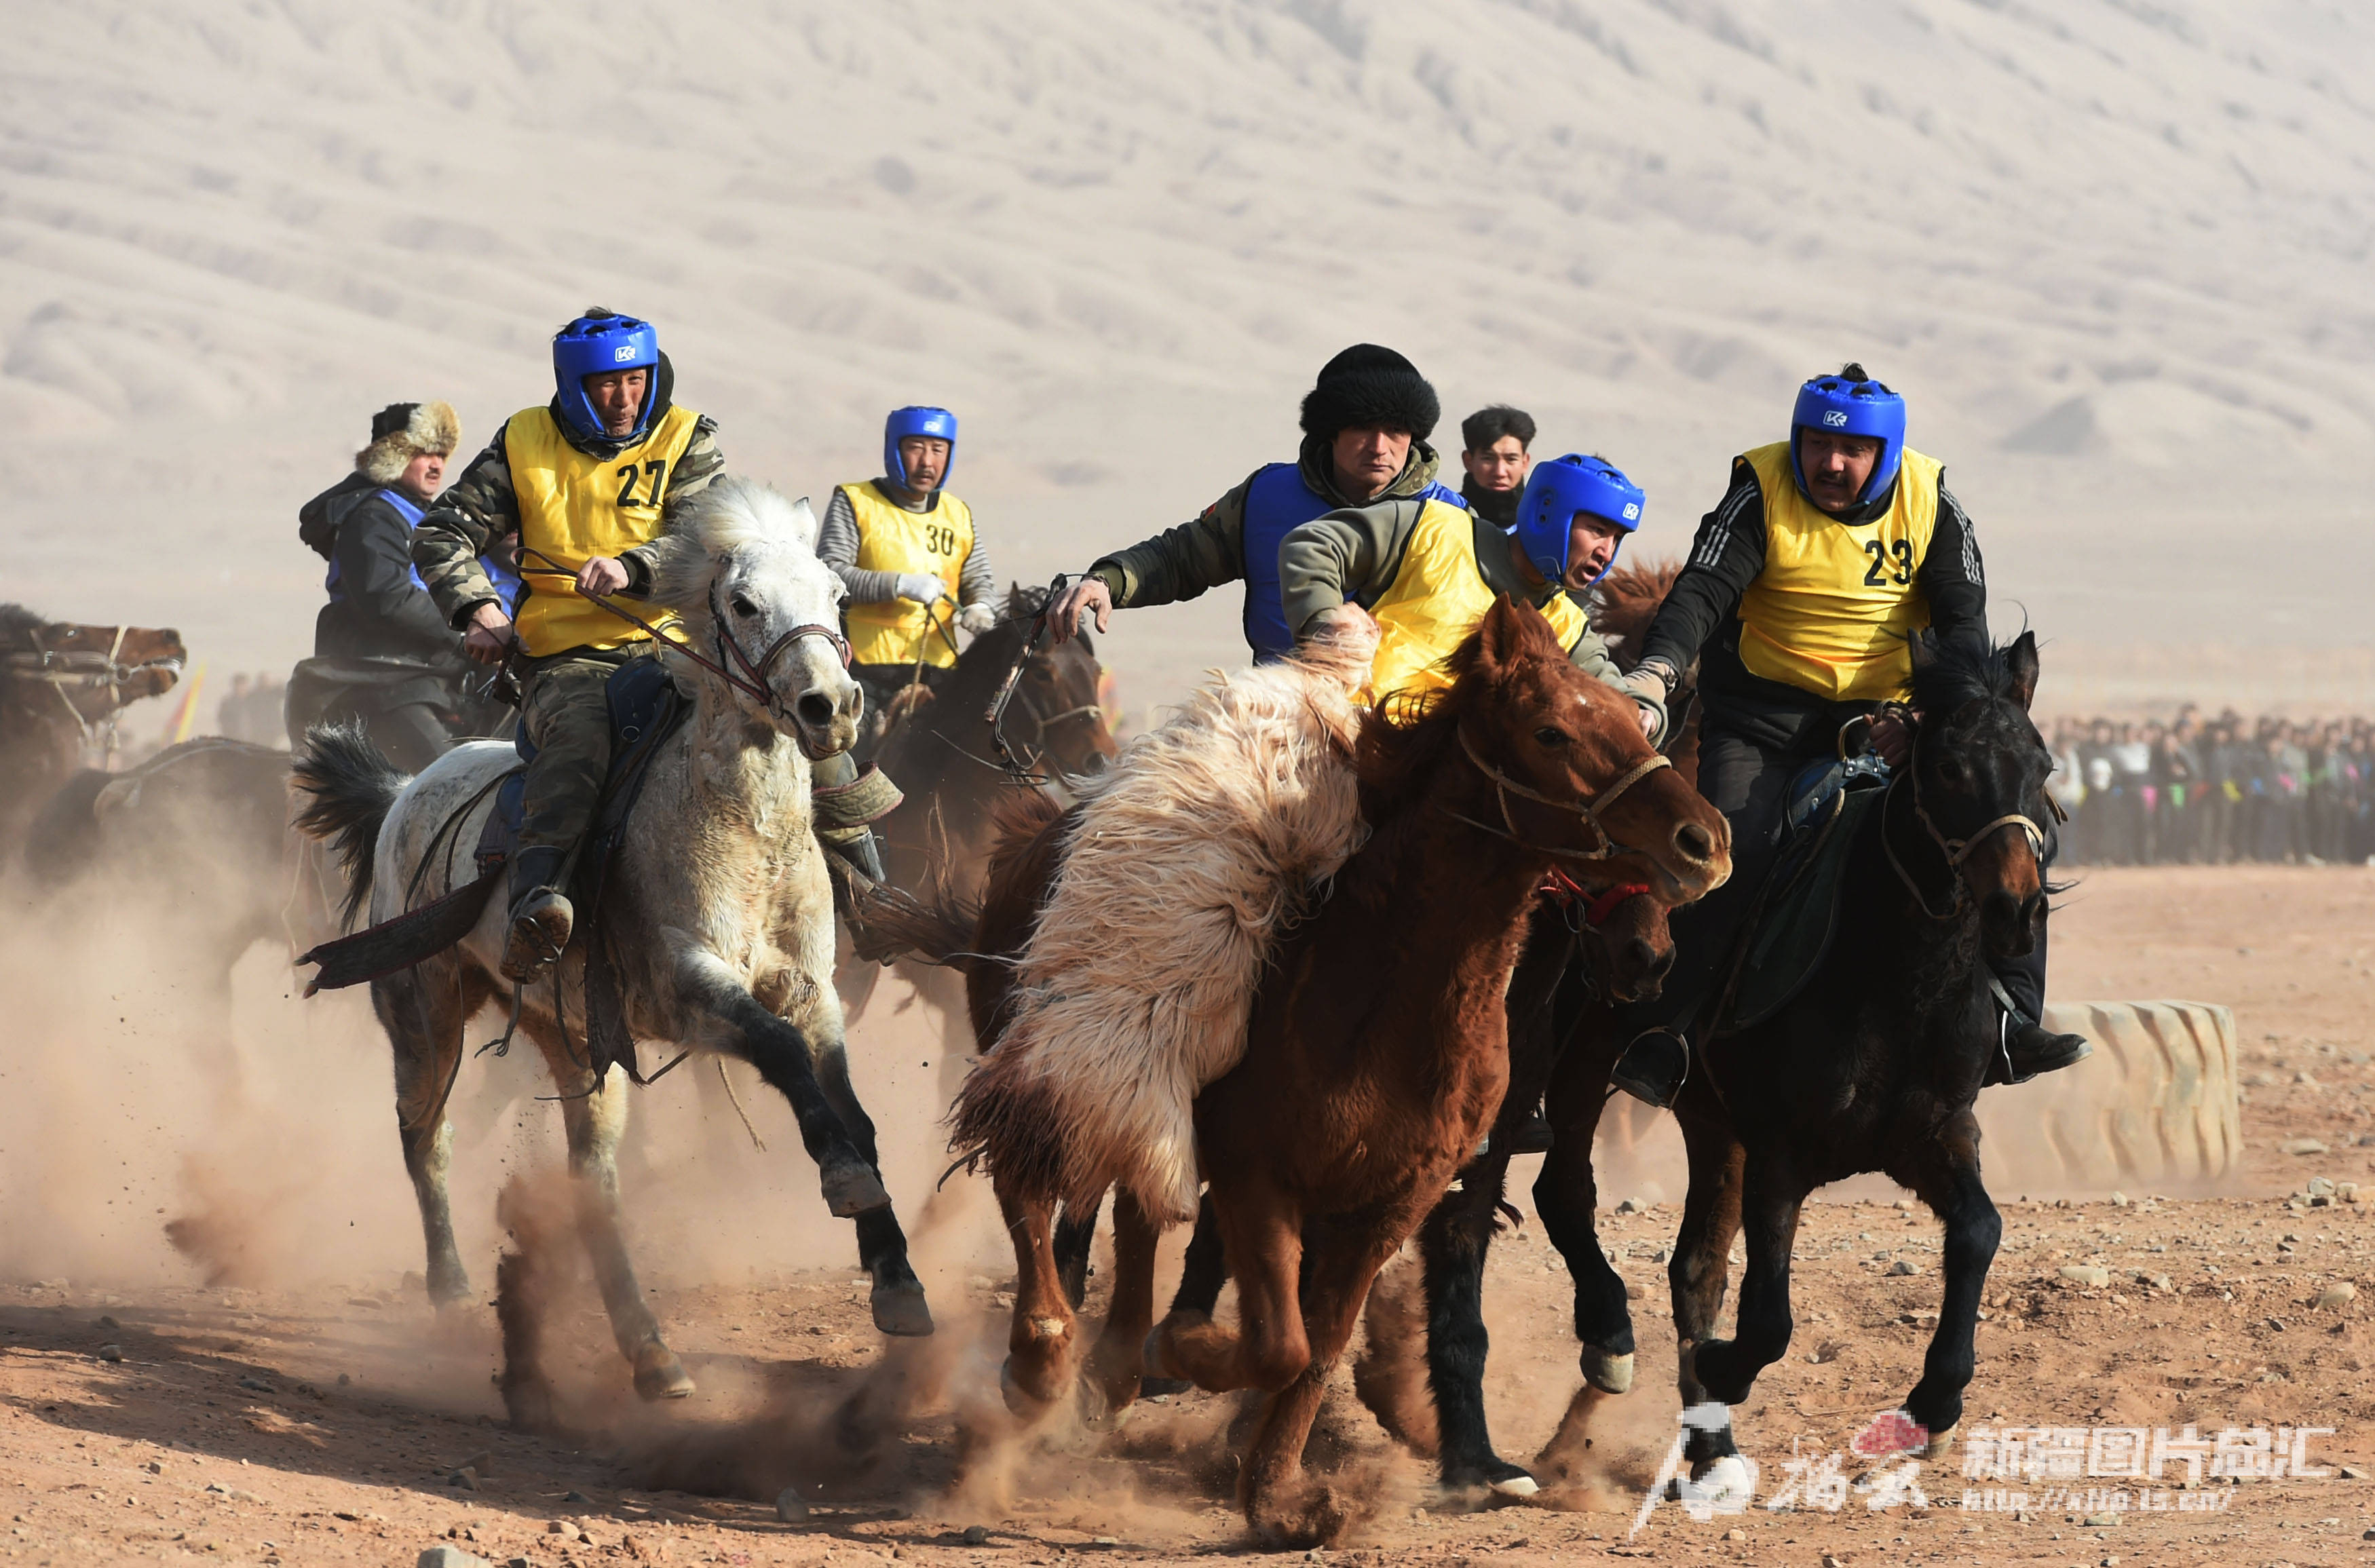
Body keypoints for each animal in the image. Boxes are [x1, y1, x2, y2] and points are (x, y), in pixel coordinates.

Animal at [292, 475, 931, 1396]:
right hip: (423, 1012)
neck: (743, 829)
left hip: (577, 1046)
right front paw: (843, 1178)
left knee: (591, 1186)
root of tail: (406, 790)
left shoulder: (811, 993)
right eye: (744, 603)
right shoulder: (687, 986)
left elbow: (855, 1110)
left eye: (834, 596)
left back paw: (650, 1351)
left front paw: (896, 1277)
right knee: (426, 1140)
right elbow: (780, 1055)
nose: (830, 708)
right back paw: (451, 1289)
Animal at [950, 600, 1748, 1539]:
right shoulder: (1257, 1176)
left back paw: (1108, 1366)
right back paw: (1041, 1358)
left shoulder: (1392, 1201)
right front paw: (1189, 1354)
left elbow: (1316, 1347)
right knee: (1025, 1183)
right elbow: (1279, 1342)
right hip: (1058, 1049)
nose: (1705, 841)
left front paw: (1274, 1500)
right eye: (1551, 730)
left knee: (1135, 1209)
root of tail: (1034, 828)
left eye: (1633, 716)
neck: (1379, 1001)